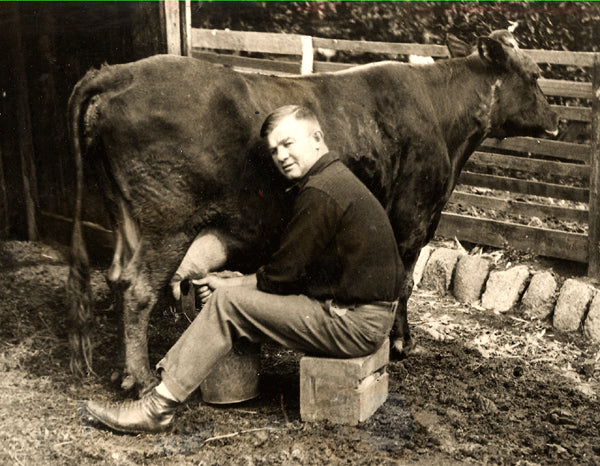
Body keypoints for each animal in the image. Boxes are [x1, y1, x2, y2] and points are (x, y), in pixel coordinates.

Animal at [69, 30, 556, 394]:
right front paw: (400, 344)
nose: (556, 123)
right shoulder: (414, 219)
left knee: (117, 276)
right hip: (165, 223)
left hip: (122, 215)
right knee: (138, 289)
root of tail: (118, 72)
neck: (443, 119)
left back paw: (123, 369)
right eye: (535, 74)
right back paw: (139, 378)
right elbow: (403, 284)